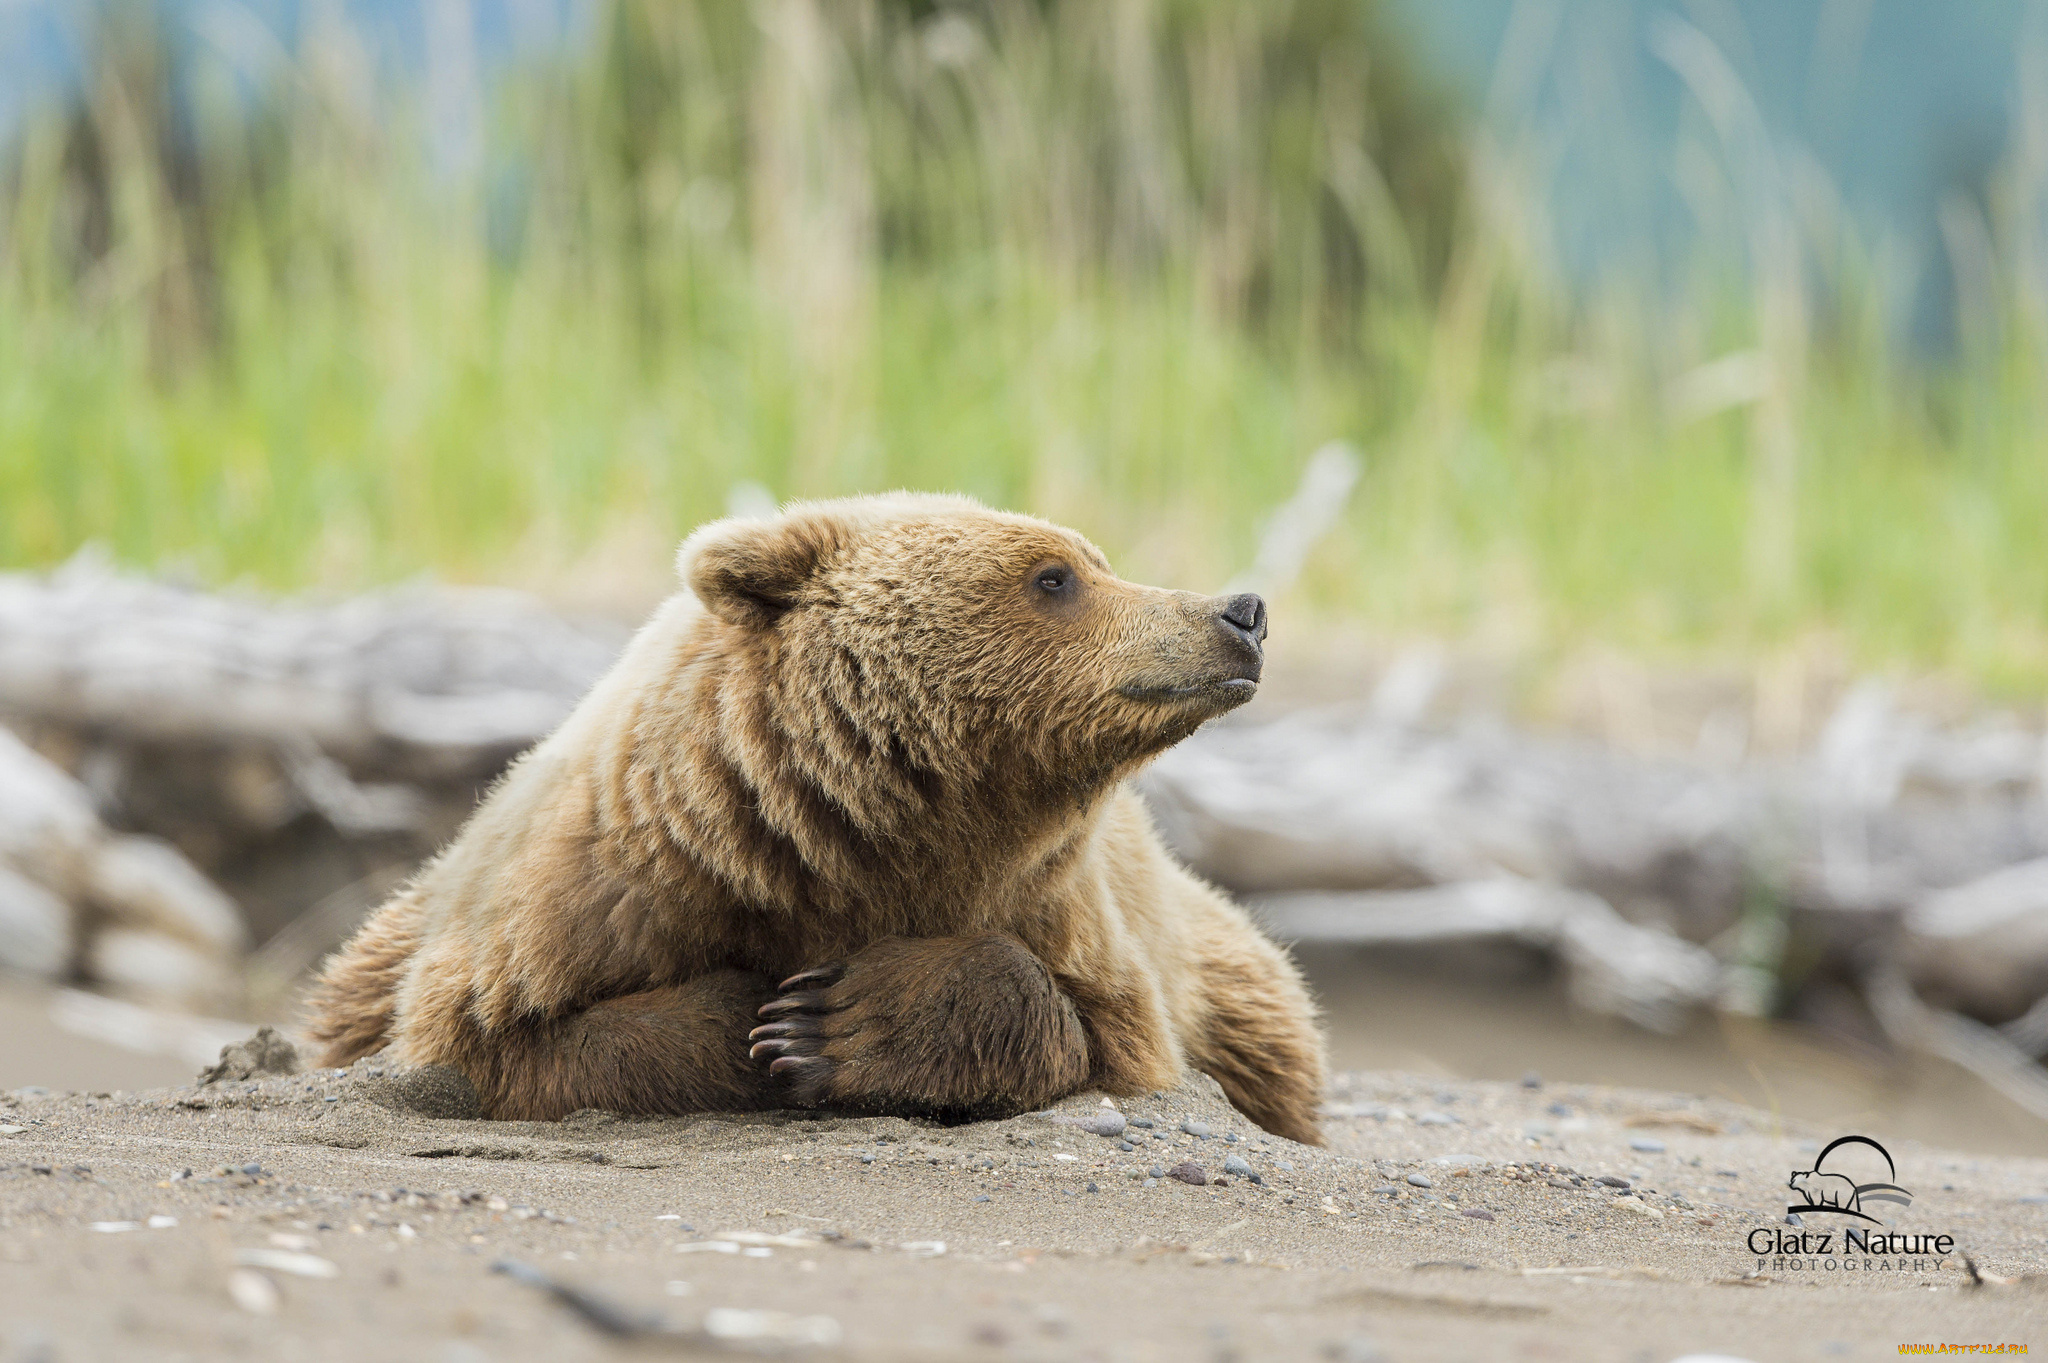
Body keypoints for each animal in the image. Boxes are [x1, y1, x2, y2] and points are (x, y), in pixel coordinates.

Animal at [303, 493, 1327, 1137]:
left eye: (1090, 562)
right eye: (1055, 576)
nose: (1240, 611)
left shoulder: (1069, 921)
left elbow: (1082, 1027)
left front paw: (831, 1024)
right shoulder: (596, 893)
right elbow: (500, 1045)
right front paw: (760, 1021)